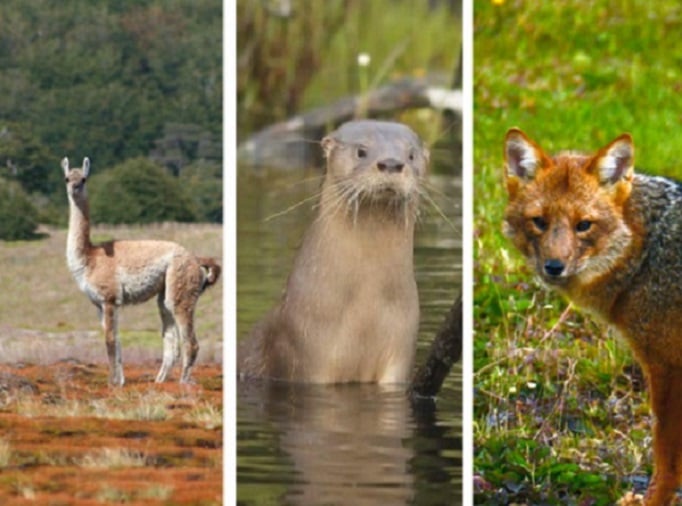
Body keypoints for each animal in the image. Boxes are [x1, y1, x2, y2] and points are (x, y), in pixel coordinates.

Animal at [239, 120, 428, 384]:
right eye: (361, 151)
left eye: (411, 155)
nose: (391, 163)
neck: (366, 314)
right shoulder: (306, 352)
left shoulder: (401, 350)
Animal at [502, 129, 682, 506]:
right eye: (540, 222)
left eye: (583, 225)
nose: (554, 267)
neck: (646, 255)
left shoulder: (667, 367)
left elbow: (666, 458)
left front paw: (654, 501)